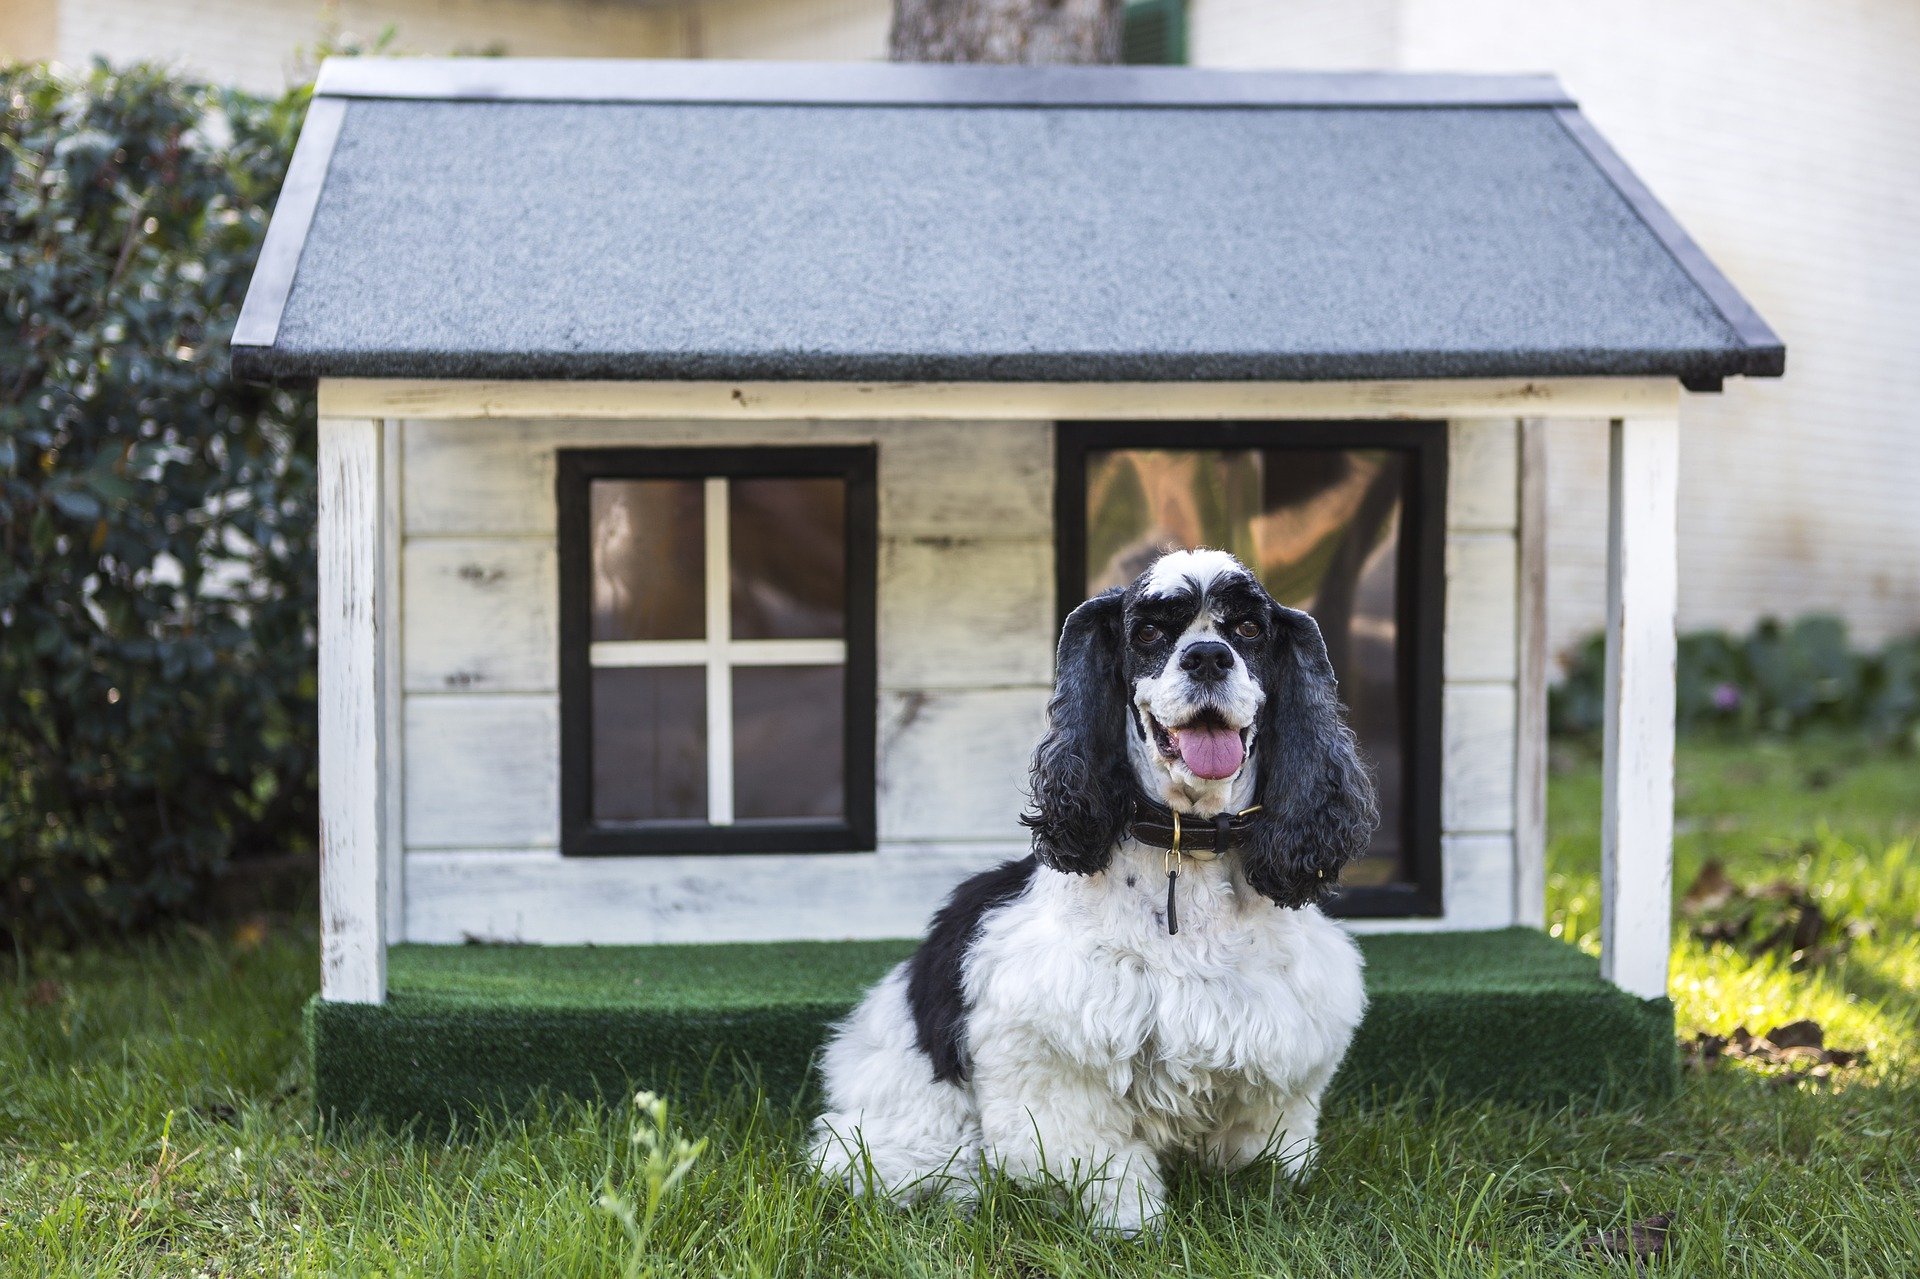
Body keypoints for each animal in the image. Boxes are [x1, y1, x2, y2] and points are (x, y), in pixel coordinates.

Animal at [814, 545, 1382, 1229]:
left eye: (1249, 628)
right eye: (1150, 633)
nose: (1208, 657)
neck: (1186, 845)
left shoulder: (1281, 1050)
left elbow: (1264, 1146)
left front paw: (1268, 1200)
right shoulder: (1055, 1056)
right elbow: (1102, 1161)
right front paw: (1132, 1225)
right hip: (907, 1127)